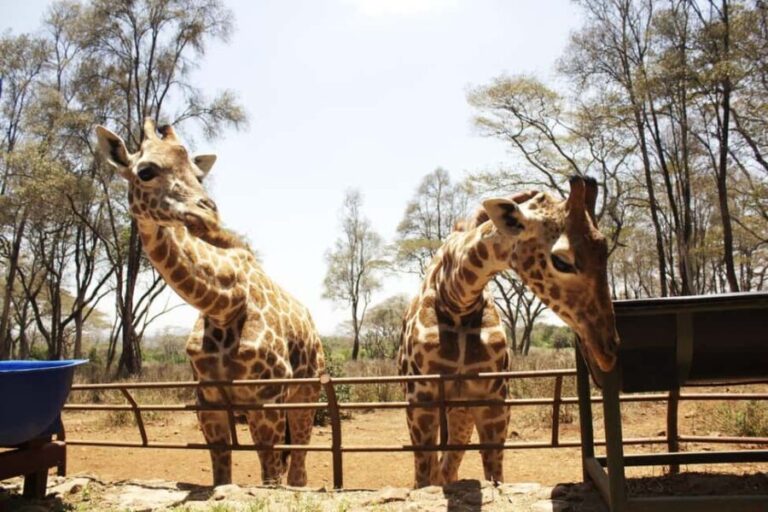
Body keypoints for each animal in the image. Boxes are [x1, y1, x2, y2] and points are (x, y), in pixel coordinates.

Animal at [95, 118, 325, 487]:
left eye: (198, 175)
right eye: (145, 171)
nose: (208, 212)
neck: (223, 305)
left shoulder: (267, 401)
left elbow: (271, 477)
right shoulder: (209, 404)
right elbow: (221, 476)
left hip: (307, 392)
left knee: (299, 469)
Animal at [398, 176, 618, 488]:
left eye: (605, 252)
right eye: (561, 261)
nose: (608, 349)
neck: (456, 298)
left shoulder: (493, 401)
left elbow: (495, 476)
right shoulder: (420, 401)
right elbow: (422, 480)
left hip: (460, 411)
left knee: (448, 468)